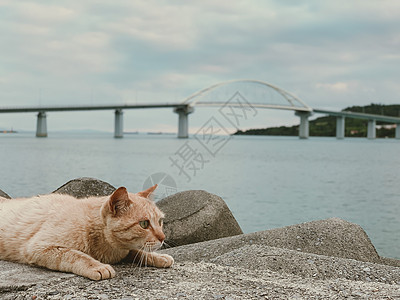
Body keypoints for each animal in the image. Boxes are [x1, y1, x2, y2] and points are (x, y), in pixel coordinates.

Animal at [0, 184, 173, 280]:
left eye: (160, 221)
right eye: (144, 224)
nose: (163, 237)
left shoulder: (125, 251)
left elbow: (138, 252)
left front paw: (159, 257)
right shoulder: (39, 247)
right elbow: (75, 255)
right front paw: (97, 266)